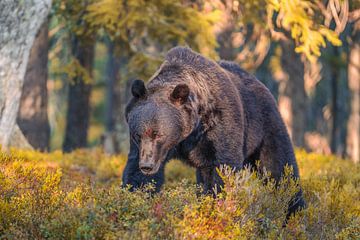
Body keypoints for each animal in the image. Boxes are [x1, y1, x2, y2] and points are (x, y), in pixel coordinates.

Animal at [122, 46, 306, 216]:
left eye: (159, 134)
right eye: (138, 135)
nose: (147, 165)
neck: (188, 132)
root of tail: (260, 83)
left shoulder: (219, 125)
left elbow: (222, 168)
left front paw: (216, 207)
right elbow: (137, 174)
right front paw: (136, 201)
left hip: (264, 125)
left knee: (279, 167)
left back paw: (294, 210)